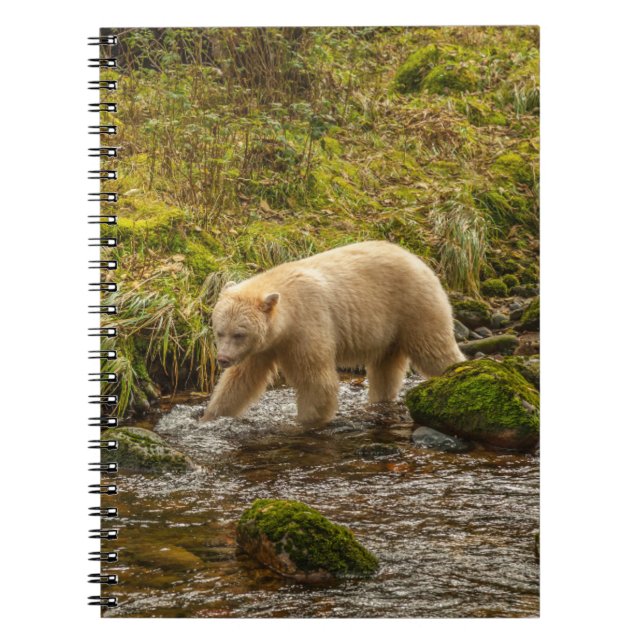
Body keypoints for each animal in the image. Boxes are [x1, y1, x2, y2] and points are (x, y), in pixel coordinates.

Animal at [201, 240, 465, 427]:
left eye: (239, 334)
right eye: (220, 331)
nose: (223, 359)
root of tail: (418, 259)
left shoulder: (307, 325)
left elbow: (316, 381)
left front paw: (305, 422)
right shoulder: (264, 346)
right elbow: (240, 381)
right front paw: (210, 416)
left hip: (414, 306)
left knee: (434, 350)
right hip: (390, 330)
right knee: (385, 368)